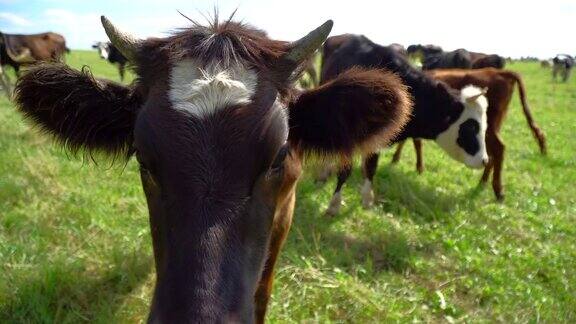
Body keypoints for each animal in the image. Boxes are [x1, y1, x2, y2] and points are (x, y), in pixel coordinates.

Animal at [392, 67, 548, 200]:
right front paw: (401, 160)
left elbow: (414, 142)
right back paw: (482, 183)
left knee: (498, 149)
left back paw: (497, 190)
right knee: (492, 154)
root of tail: (499, 72)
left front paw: (412, 165)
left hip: (488, 129)